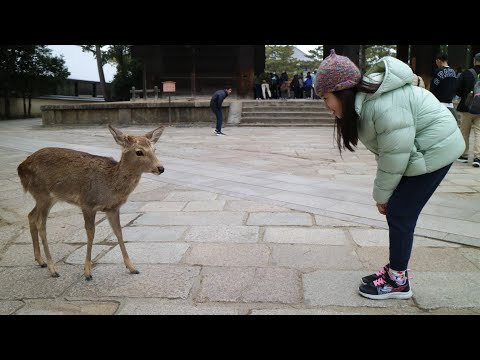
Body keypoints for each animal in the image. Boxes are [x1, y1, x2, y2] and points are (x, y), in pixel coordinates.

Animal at [16, 125, 165, 280]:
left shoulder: (113, 208)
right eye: (139, 151)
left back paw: (41, 261)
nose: (160, 168)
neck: (110, 185)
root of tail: (20, 168)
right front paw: (87, 271)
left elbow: (118, 232)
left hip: (48, 197)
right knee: (41, 223)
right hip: (42, 194)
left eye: (154, 149)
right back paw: (53, 269)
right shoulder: (87, 203)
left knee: (31, 216)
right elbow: (91, 233)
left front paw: (132, 267)